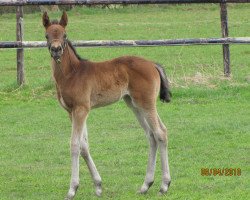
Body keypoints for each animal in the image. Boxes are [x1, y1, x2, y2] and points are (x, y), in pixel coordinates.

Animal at [43, 12, 172, 198]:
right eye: (47, 35)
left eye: (64, 35)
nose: (56, 50)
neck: (72, 73)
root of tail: (152, 64)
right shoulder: (72, 111)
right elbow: (84, 145)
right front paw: (98, 186)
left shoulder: (81, 109)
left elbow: (74, 144)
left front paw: (72, 189)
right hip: (134, 104)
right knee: (151, 135)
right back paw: (146, 185)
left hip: (146, 103)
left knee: (160, 133)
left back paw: (164, 185)